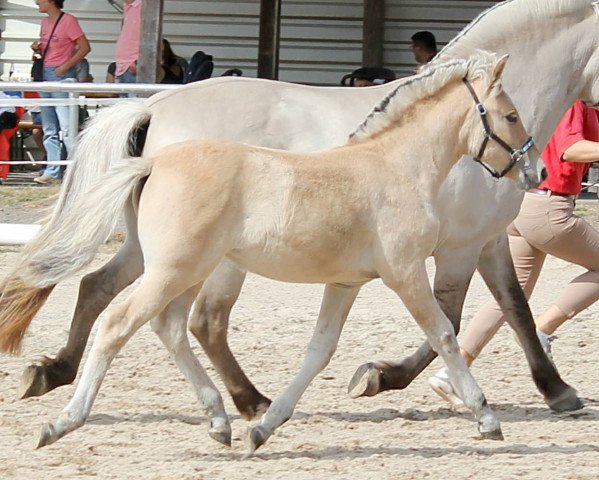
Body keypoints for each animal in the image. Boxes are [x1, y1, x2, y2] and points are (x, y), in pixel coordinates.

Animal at [2, 0, 596, 412]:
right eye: (511, 115)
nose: (538, 173)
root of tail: (158, 102)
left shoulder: (490, 241)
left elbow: (515, 308)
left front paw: (557, 390)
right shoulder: (456, 249)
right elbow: (446, 319)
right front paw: (381, 376)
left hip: (160, 250)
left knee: (98, 285)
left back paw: (53, 372)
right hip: (205, 259)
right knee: (201, 319)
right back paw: (250, 402)